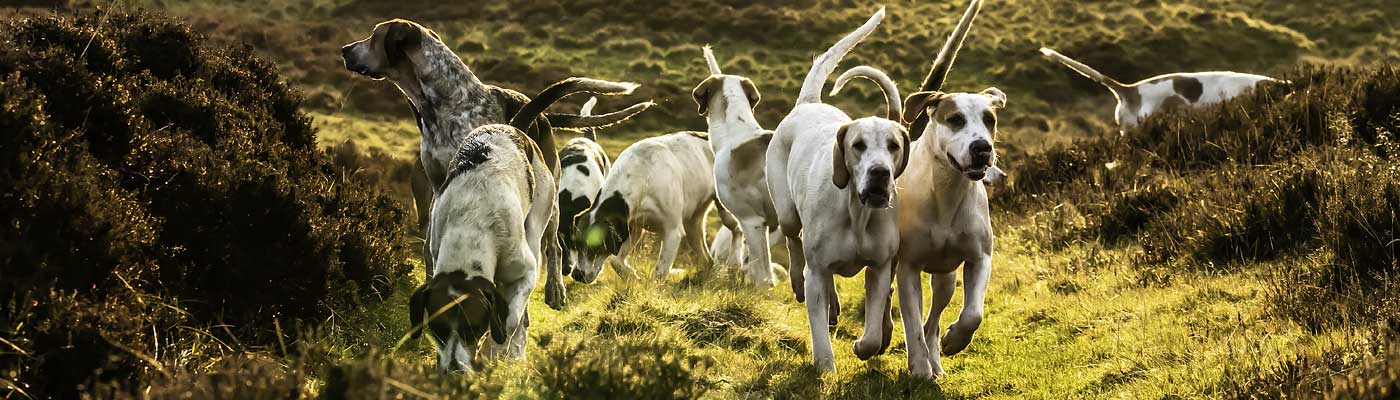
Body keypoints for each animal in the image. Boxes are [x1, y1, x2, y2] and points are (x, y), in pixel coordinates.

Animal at [408, 79, 641, 374]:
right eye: (436, 329)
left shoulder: (525, 273)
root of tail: (513, 127)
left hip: (544, 212)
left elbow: (509, 319)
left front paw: (495, 351)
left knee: (551, 248)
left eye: (472, 328)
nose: (453, 371)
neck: (469, 228)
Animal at [767, 8, 907, 372]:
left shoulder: (880, 268)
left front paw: (864, 346)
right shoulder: (818, 269)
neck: (855, 213)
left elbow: (872, 330)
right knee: (794, 242)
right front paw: (825, 364)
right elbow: (817, 328)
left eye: (894, 145)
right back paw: (798, 281)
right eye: (858, 145)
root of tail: (808, 103)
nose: (879, 173)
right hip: (787, 213)